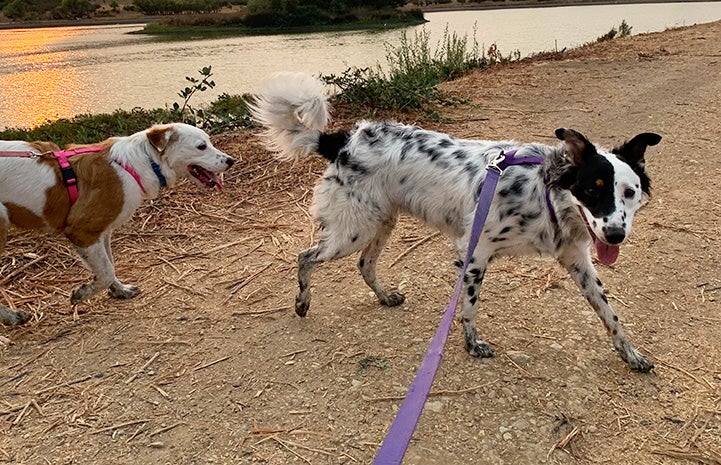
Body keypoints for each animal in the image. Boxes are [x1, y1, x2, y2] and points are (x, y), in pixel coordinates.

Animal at [0, 123, 233, 326]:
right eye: (201, 146)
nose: (230, 161)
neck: (140, 163)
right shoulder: (82, 231)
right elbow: (106, 272)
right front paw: (82, 293)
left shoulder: (102, 233)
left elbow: (109, 266)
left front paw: (119, 290)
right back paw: (11, 317)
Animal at [248, 71, 660, 370]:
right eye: (592, 189)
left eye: (630, 192)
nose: (615, 234)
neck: (543, 190)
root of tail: (344, 141)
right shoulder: (475, 252)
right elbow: (469, 307)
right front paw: (472, 344)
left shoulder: (578, 260)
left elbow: (610, 313)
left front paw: (631, 354)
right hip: (354, 229)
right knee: (306, 257)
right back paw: (302, 302)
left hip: (382, 222)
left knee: (365, 264)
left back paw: (384, 296)